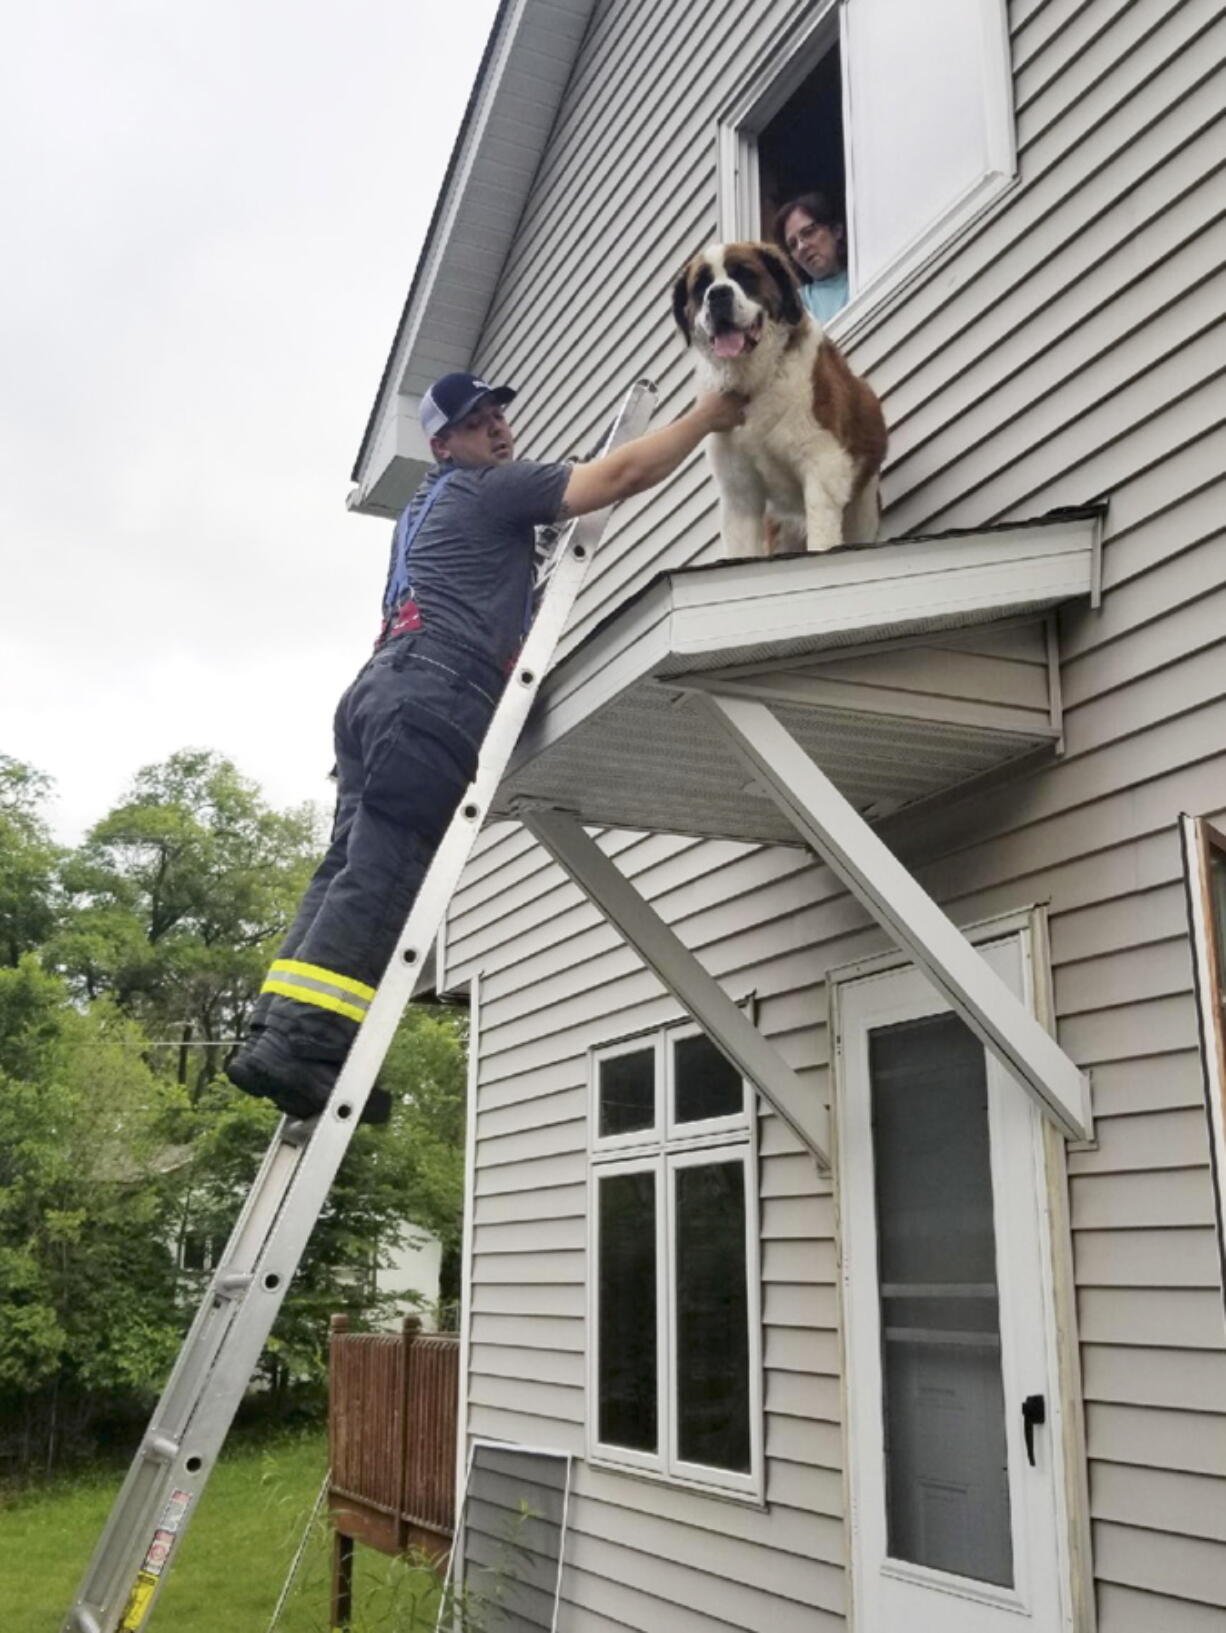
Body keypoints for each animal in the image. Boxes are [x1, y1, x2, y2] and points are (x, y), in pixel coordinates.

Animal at [675, 238, 888, 555]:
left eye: (744, 274)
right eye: (701, 286)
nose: (718, 294)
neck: (756, 379)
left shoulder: (823, 464)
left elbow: (822, 537)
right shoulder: (739, 489)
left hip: (861, 510)